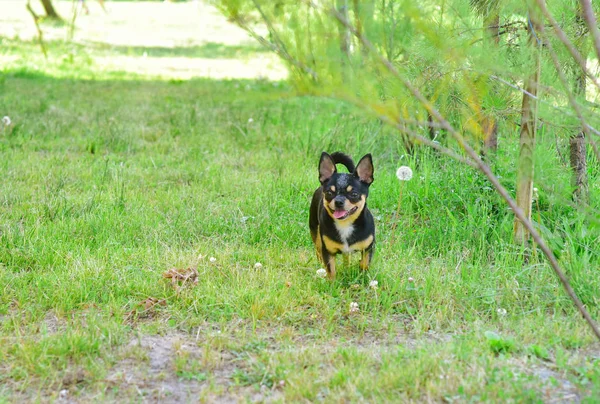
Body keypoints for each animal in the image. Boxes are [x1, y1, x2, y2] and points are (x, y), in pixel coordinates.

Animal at [310, 150, 376, 280]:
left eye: (354, 194)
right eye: (329, 193)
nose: (338, 201)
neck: (345, 224)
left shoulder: (367, 248)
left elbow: (365, 264)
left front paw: (362, 277)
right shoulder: (328, 252)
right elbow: (331, 271)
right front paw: (332, 283)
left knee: (347, 257)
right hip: (314, 230)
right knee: (318, 249)